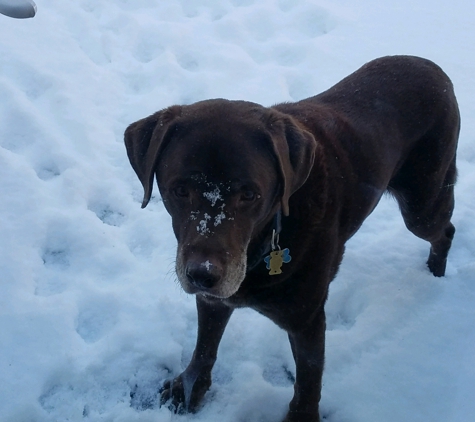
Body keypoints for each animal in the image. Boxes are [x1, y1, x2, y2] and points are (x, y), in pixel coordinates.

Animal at [124, 56, 460, 422]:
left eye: (249, 195)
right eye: (180, 190)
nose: (202, 275)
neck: (267, 236)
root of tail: (431, 65)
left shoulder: (307, 318)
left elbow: (309, 378)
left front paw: (301, 417)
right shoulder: (214, 296)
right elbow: (206, 343)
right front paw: (190, 386)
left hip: (422, 204)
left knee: (445, 230)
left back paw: (435, 273)